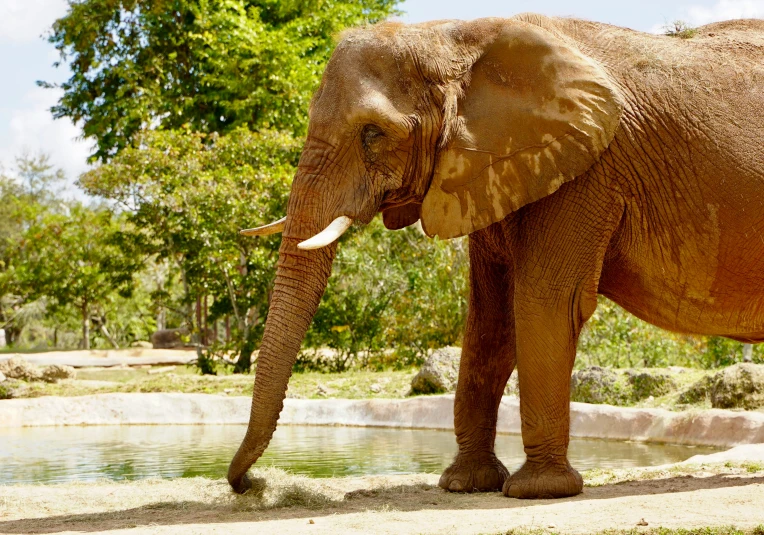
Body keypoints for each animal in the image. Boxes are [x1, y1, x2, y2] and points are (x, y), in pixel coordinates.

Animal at [227, 13, 764, 498]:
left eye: (373, 133)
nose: (250, 484)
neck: (454, 37)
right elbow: (490, 318)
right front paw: (465, 484)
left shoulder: (588, 169)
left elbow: (546, 301)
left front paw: (538, 490)